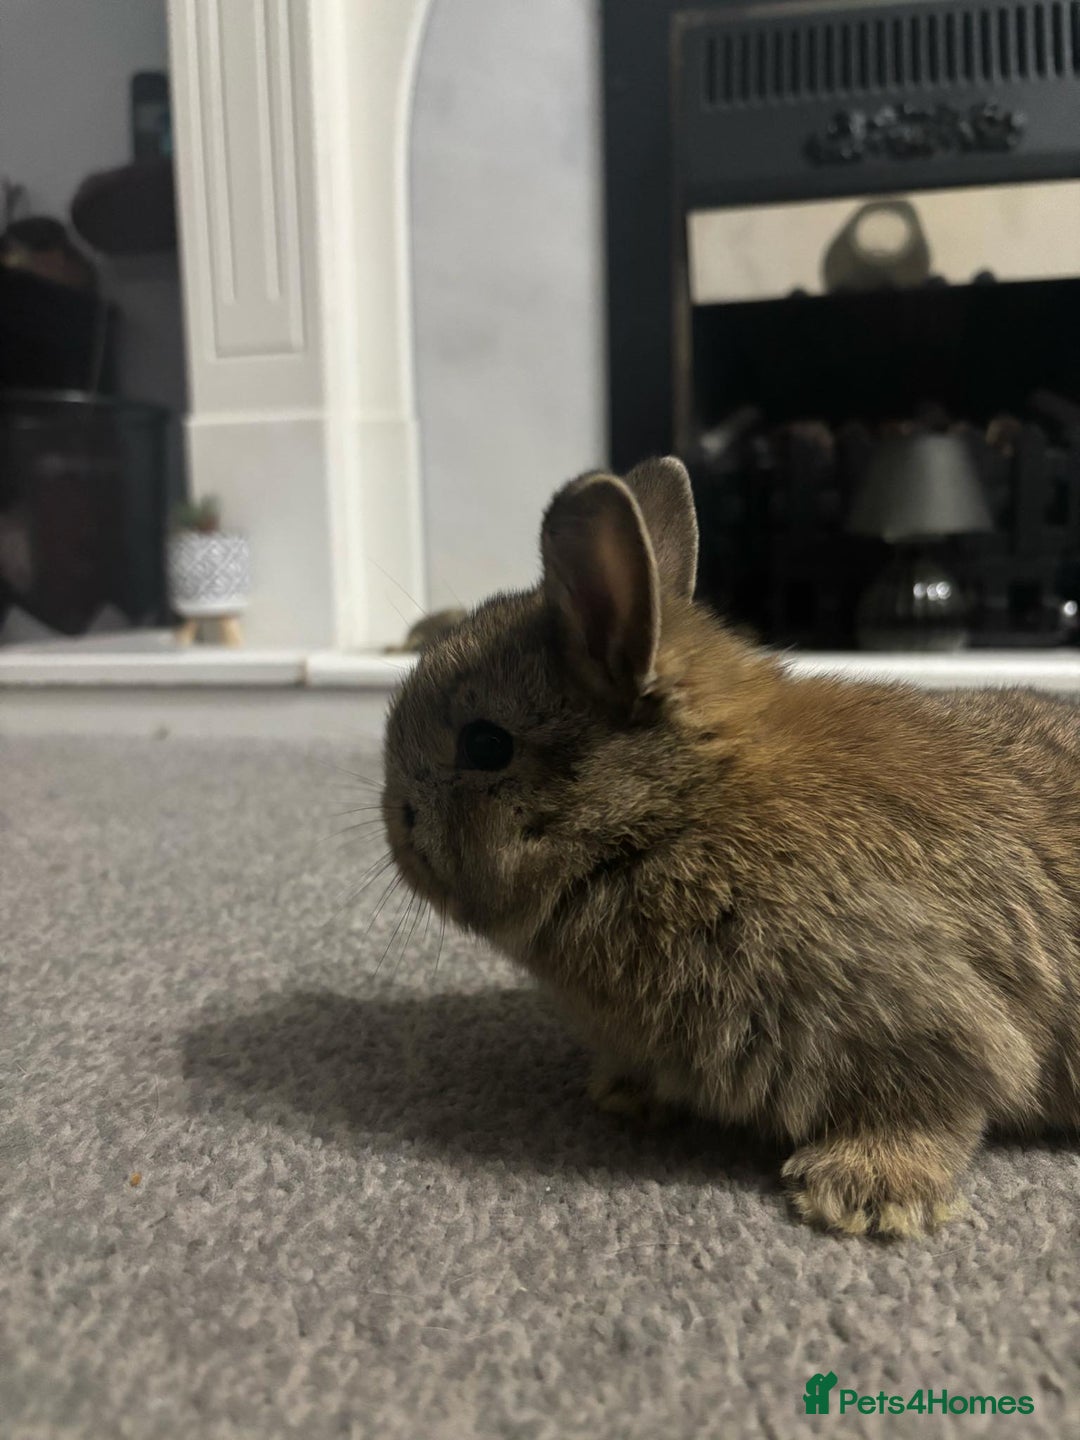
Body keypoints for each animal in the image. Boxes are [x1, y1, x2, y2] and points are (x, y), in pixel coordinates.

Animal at [381, 456, 1080, 1238]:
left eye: (484, 745)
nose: (395, 823)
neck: (673, 814)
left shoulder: (921, 1014)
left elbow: (936, 1105)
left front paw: (861, 1195)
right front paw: (623, 1093)